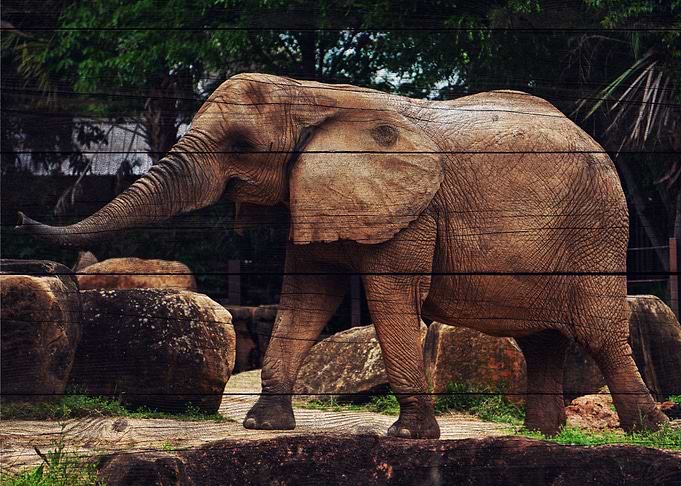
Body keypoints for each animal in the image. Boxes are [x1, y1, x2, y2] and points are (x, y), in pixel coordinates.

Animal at [17, 73, 668, 439]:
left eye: (240, 145)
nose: (21, 217)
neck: (314, 96)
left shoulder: (410, 208)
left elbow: (387, 297)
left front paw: (407, 438)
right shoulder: (315, 191)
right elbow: (307, 295)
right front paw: (262, 426)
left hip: (597, 229)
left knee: (600, 332)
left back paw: (650, 432)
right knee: (541, 339)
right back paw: (543, 437)